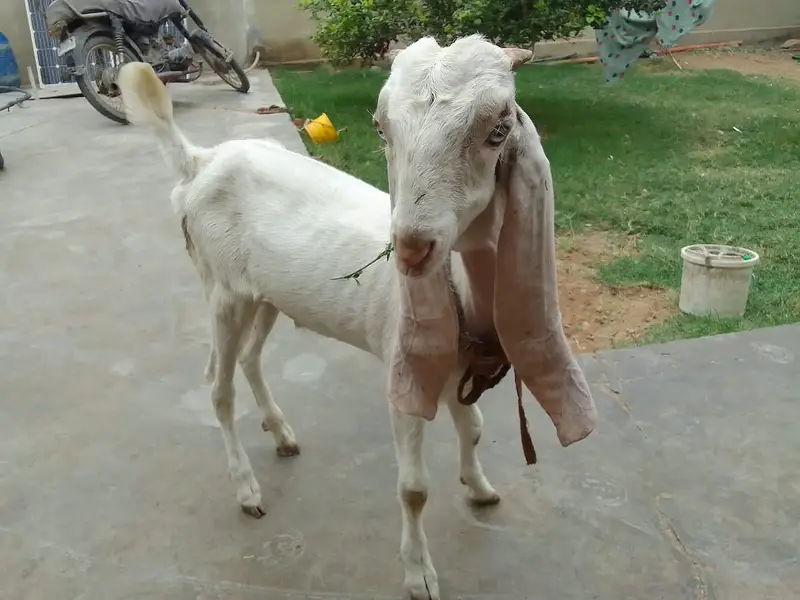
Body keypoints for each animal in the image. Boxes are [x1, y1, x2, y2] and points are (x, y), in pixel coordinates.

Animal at [117, 33, 597, 600]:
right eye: (380, 127)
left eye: (499, 130)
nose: (410, 247)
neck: (461, 290)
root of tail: (200, 160)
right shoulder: (403, 369)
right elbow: (413, 489)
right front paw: (419, 575)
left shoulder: (456, 368)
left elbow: (474, 428)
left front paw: (479, 488)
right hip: (223, 290)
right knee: (218, 385)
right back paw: (247, 490)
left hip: (266, 296)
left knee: (252, 359)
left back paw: (281, 433)